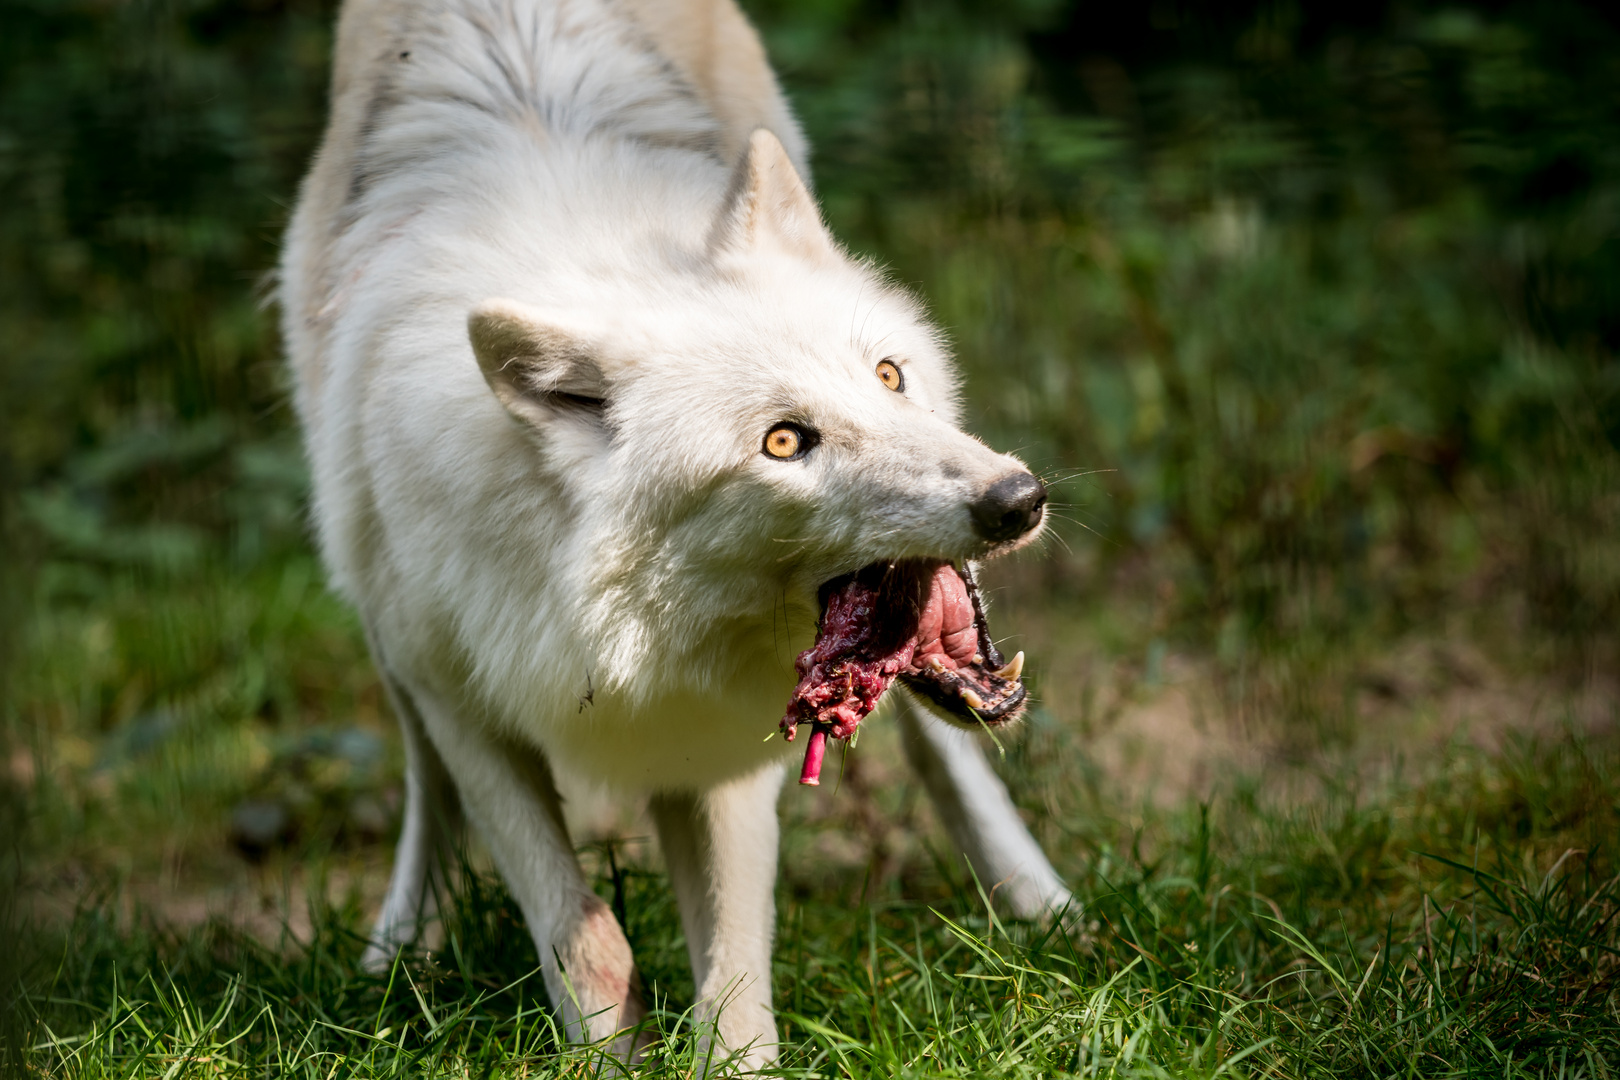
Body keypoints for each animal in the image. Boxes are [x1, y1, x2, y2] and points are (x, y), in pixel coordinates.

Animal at [283, 0, 1069, 1062]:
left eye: (889, 376)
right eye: (784, 441)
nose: (1016, 501)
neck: (617, 629)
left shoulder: (725, 738)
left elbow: (733, 978)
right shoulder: (467, 708)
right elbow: (585, 939)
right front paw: (602, 1058)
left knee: (945, 748)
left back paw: (1042, 904)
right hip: (385, 629)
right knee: (423, 780)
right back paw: (399, 950)